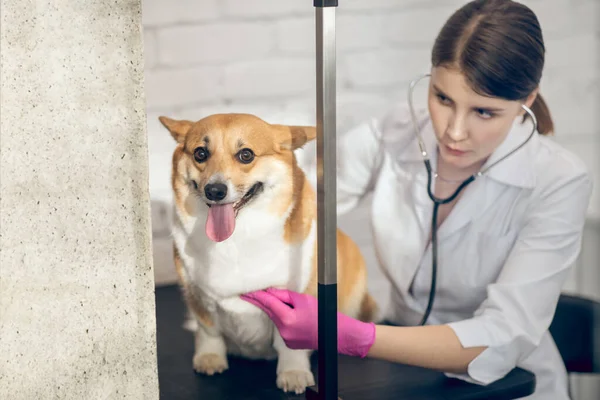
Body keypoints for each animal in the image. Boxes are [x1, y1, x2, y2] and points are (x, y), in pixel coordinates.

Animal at [157, 112, 378, 394]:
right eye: (200, 153)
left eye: (246, 155)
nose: (214, 191)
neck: (236, 240)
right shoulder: (197, 295)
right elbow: (209, 331)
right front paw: (210, 358)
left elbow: (290, 343)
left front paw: (293, 373)